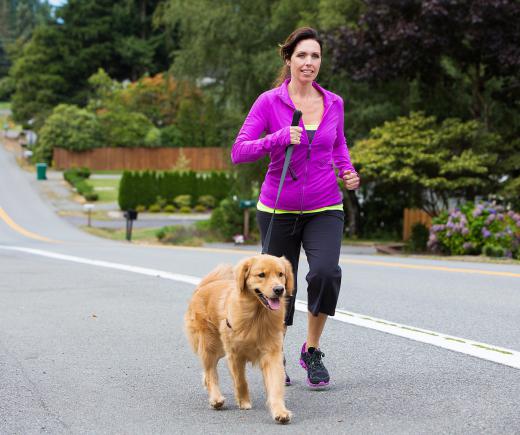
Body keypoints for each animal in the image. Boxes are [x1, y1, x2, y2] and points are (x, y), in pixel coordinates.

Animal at [185, 254, 294, 424]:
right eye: (261, 275)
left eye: (281, 274)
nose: (279, 289)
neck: (257, 316)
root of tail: (203, 286)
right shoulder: (235, 354)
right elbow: (240, 380)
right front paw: (244, 402)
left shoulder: (272, 353)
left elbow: (275, 384)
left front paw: (280, 412)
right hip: (210, 345)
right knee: (210, 372)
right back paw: (216, 399)